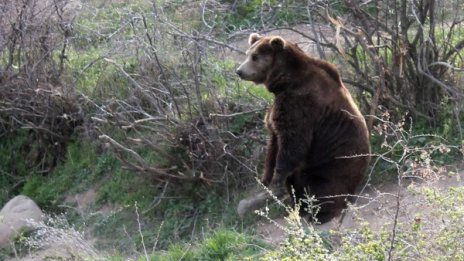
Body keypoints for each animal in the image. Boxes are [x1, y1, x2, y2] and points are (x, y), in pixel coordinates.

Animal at [236, 33, 370, 222]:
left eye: (254, 56)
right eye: (248, 54)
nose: (239, 71)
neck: (285, 81)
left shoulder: (300, 104)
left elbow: (293, 144)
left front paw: (276, 181)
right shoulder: (279, 111)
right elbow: (274, 145)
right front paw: (266, 179)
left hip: (332, 166)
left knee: (324, 188)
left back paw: (320, 214)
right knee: (297, 183)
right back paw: (299, 207)